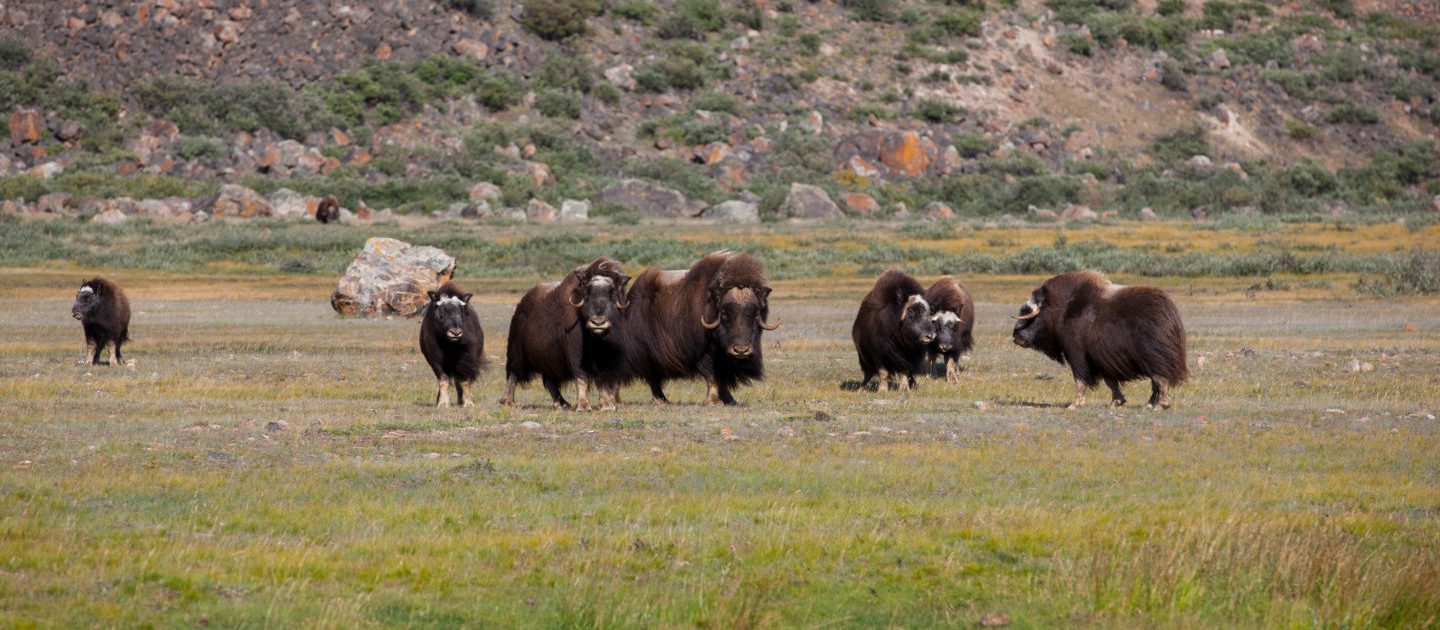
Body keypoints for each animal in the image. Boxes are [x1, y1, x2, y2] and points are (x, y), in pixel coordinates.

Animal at [501, 257, 630, 411]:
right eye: (587, 294)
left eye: (613, 294)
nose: (598, 322)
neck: (596, 340)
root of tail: (520, 306)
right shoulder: (575, 354)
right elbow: (581, 378)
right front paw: (583, 406)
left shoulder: (607, 358)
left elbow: (602, 380)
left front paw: (607, 405)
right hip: (517, 353)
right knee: (513, 375)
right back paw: (508, 402)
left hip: (547, 360)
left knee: (549, 381)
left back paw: (562, 404)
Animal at [622, 248, 777, 405]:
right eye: (724, 314)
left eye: (755, 313)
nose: (741, 350)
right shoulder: (704, 353)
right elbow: (712, 376)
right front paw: (714, 401)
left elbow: (723, 379)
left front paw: (730, 400)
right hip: (647, 354)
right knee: (652, 378)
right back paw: (661, 400)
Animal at [1008, 268, 1186, 408]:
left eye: (1026, 313)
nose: (1016, 337)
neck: (1060, 311)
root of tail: (1171, 314)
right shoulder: (1101, 358)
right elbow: (1110, 381)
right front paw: (1117, 402)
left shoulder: (1077, 353)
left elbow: (1080, 378)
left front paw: (1075, 404)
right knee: (1156, 382)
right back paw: (1149, 404)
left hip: (1153, 357)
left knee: (1159, 379)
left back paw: (1160, 405)